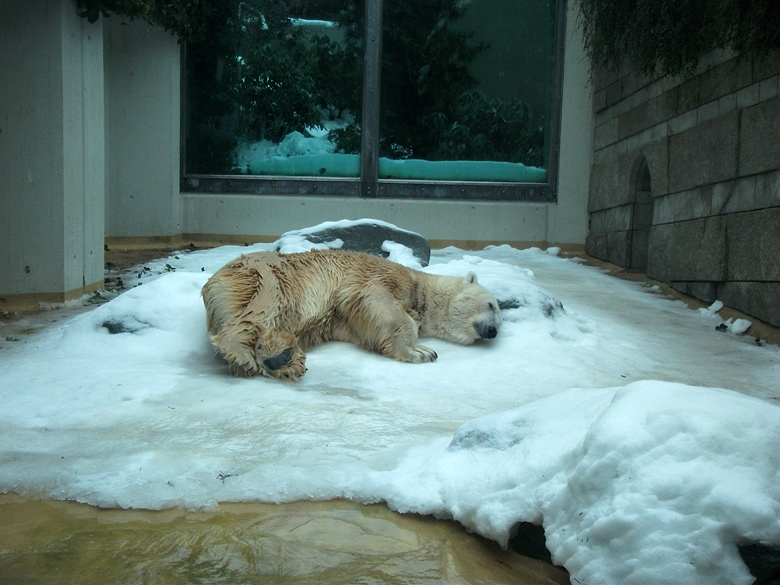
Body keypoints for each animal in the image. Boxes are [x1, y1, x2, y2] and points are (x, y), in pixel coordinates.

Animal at [201, 250, 502, 378]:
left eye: (500, 321)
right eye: (491, 305)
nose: (493, 331)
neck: (420, 287)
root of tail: (213, 282)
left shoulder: (343, 322)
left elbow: (365, 325)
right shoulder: (380, 277)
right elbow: (376, 301)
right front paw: (421, 351)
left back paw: (285, 360)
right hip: (268, 276)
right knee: (266, 308)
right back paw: (243, 352)